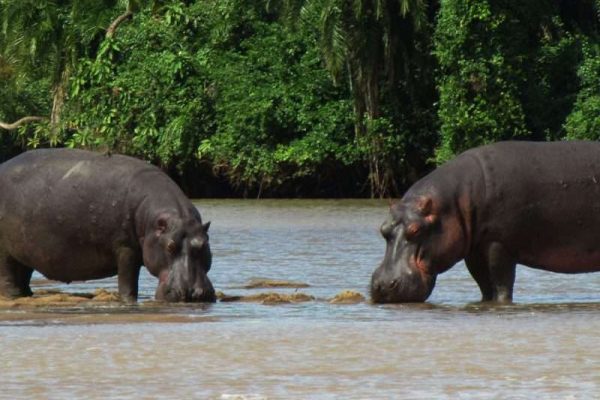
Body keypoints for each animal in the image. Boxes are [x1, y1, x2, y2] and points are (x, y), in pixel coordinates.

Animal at [0, 148, 216, 302]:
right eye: (170, 246)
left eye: (203, 245)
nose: (192, 293)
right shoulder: (126, 249)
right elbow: (128, 281)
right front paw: (128, 300)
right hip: (5, 250)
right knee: (7, 273)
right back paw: (13, 296)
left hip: (25, 248)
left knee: (23, 272)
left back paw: (26, 295)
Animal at [370, 141, 600, 304]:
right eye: (383, 229)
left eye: (416, 230)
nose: (382, 285)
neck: (455, 202)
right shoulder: (475, 249)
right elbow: (483, 284)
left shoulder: (498, 244)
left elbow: (501, 283)